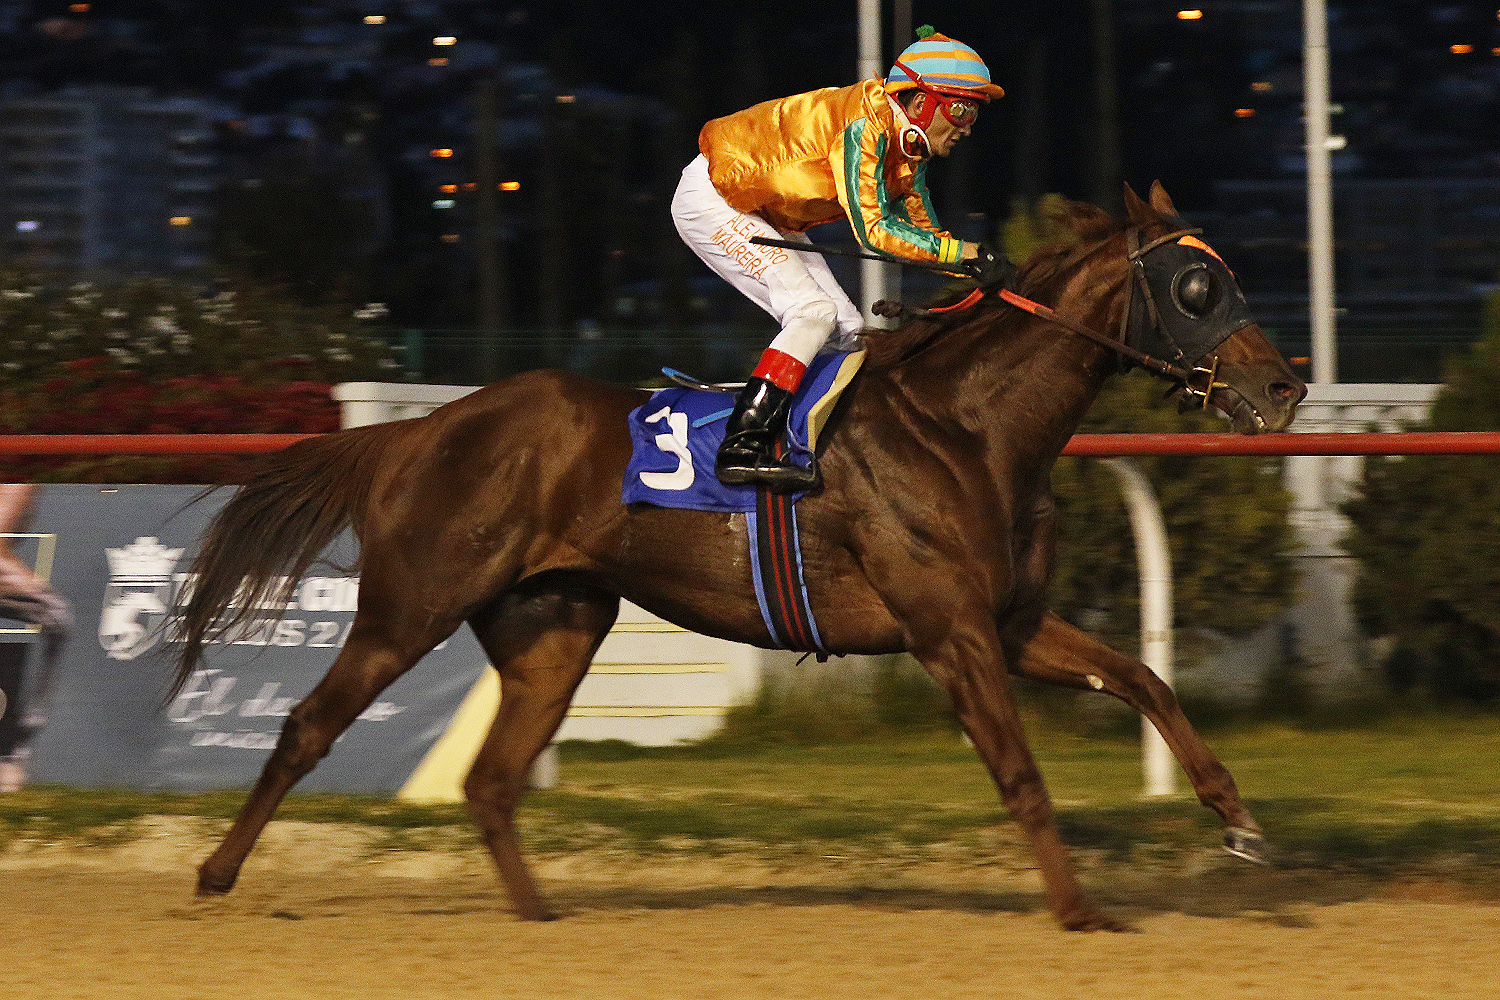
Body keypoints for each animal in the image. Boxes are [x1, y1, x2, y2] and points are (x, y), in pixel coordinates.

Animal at [170, 182, 1305, 932]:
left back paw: (538, 914)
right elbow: (1020, 770)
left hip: (555, 626)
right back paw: (215, 877)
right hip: (414, 602)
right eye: (1197, 285)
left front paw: (1242, 823)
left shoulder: (1011, 623)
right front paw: (1077, 910)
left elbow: (1145, 679)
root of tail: (417, 429)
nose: (1284, 388)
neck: (968, 426)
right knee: (309, 725)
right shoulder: (950, 631)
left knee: (491, 780)